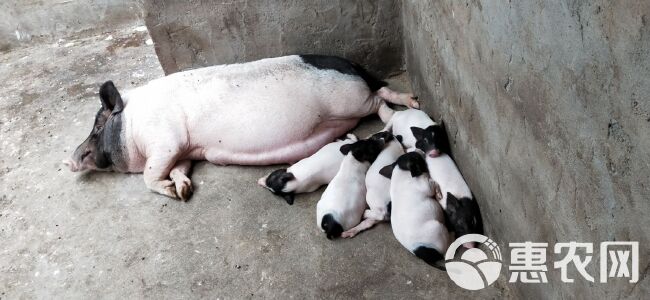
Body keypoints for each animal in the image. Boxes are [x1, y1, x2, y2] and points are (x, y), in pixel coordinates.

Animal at [64, 56, 416, 202]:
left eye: (98, 126)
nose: (69, 160)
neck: (133, 126)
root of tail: (351, 65)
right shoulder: (182, 150)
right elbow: (179, 168)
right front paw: (183, 190)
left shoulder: (165, 141)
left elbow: (150, 175)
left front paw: (171, 192)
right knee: (382, 90)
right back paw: (410, 101)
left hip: (352, 100)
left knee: (380, 98)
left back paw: (405, 105)